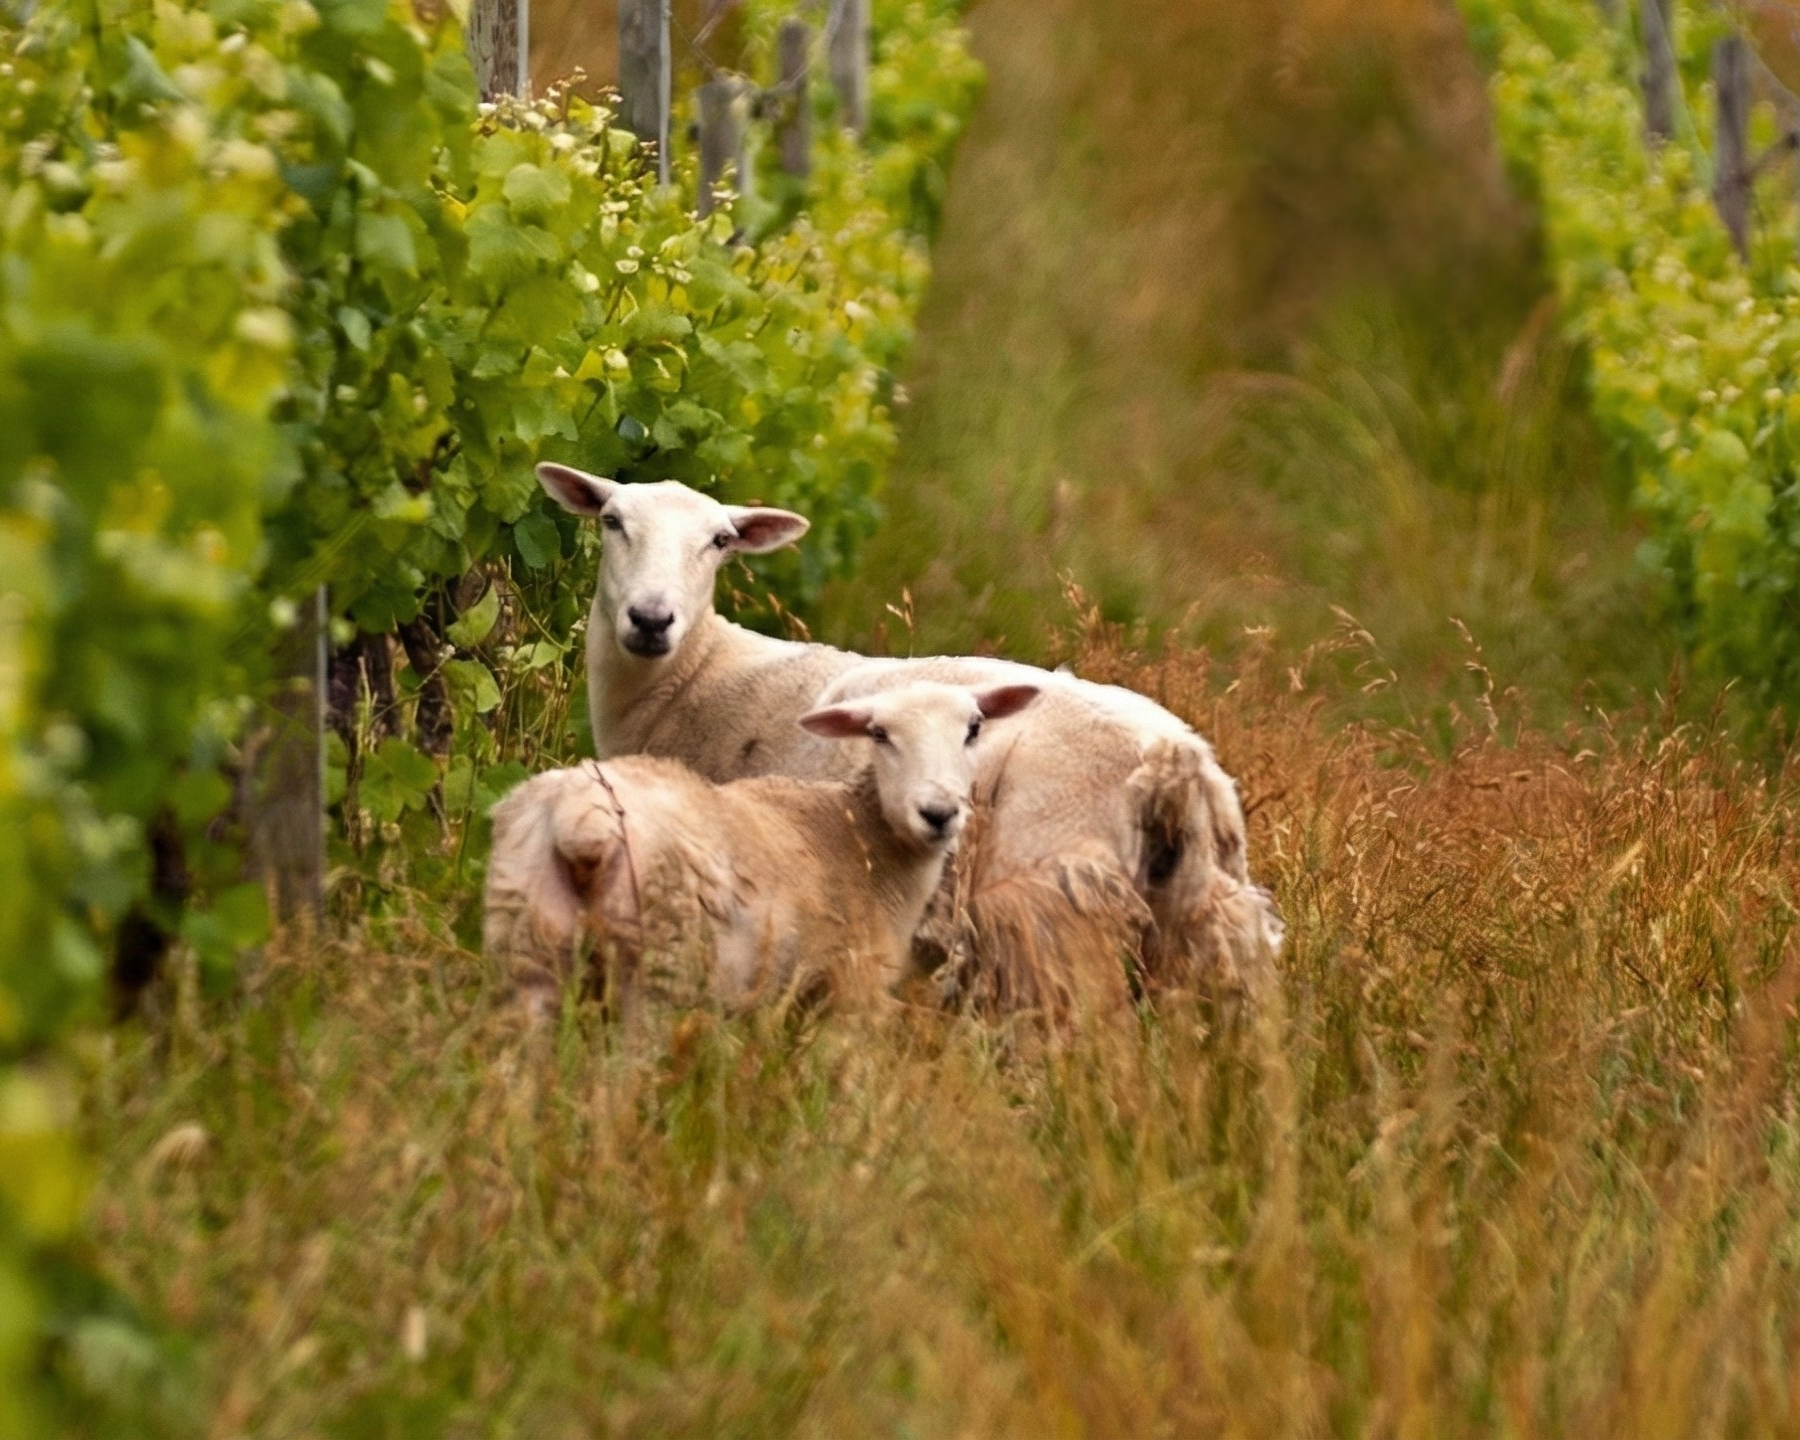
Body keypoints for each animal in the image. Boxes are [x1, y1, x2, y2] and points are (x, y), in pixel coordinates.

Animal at [483, 679, 1041, 1019]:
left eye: (974, 728)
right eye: (879, 733)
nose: (938, 812)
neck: (861, 837)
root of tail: (580, 820)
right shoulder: (850, 990)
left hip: (524, 938)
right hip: (658, 961)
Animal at [535, 462, 1283, 1014]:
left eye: (720, 541)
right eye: (612, 521)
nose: (651, 618)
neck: (694, 677)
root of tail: (1175, 761)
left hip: (1054, 915)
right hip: (1205, 927)